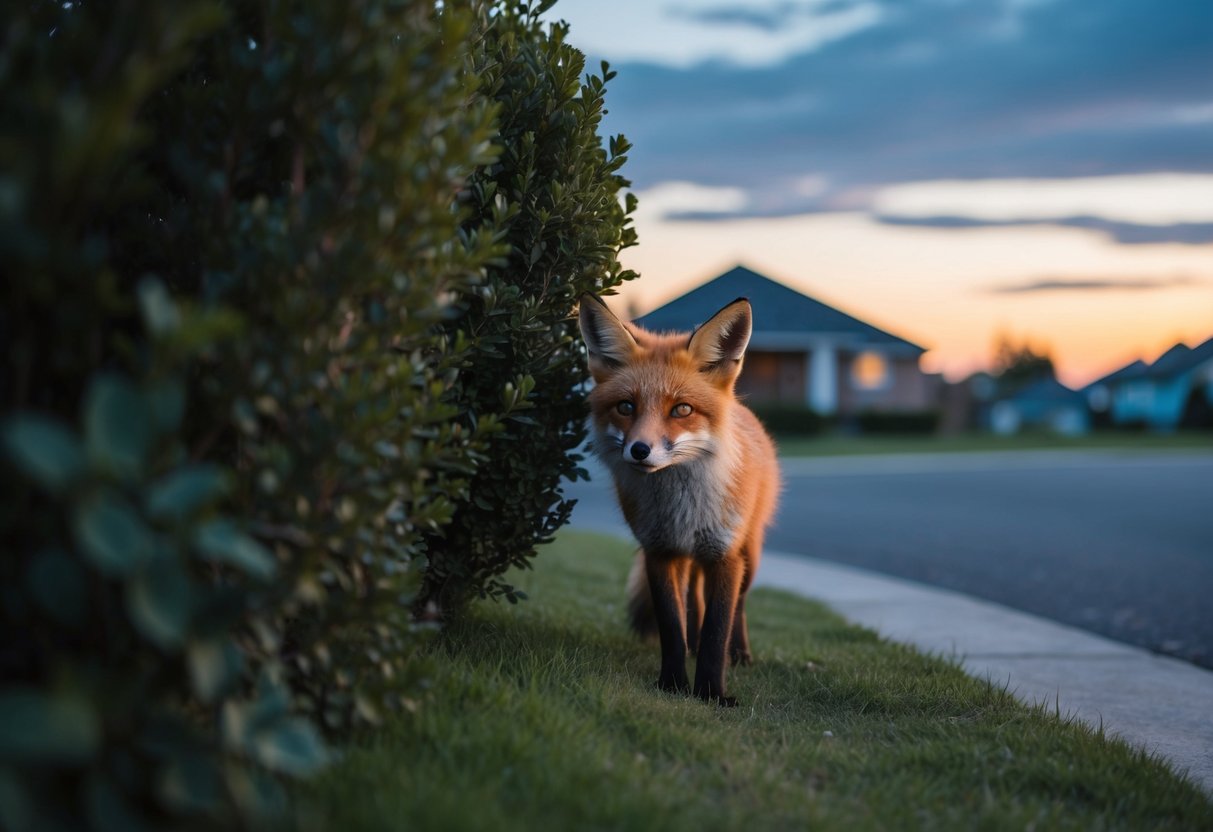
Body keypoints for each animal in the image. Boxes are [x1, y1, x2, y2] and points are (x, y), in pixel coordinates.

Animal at [578, 293, 780, 706]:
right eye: (626, 407)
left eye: (682, 409)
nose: (639, 450)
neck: (683, 510)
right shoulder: (660, 552)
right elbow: (672, 625)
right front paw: (672, 683)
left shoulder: (725, 556)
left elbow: (718, 629)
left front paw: (711, 693)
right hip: (691, 561)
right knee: (694, 602)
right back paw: (692, 645)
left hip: (748, 556)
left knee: (739, 607)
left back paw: (740, 653)